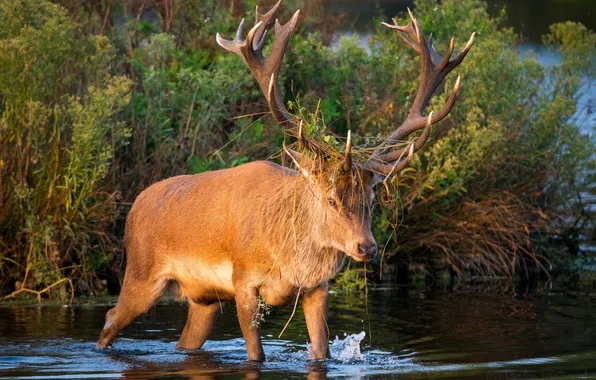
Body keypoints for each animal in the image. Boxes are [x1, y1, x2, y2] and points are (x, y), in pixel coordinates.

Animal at [95, 0, 472, 362]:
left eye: (372, 199)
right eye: (330, 198)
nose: (366, 247)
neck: (289, 257)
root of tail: (135, 206)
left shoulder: (318, 288)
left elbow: (320, 352)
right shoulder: (243, 280)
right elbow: (256, 354)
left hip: (203, 298)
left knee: (184, 339)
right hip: (141, 273)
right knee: (111, 316)